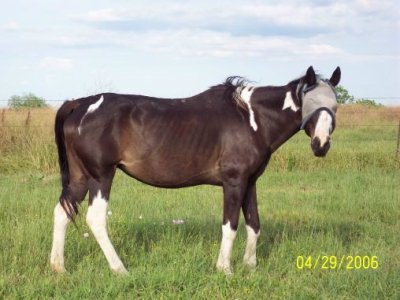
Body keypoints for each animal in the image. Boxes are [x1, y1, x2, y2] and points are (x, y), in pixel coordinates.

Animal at [50, 65, 340, 274]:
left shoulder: (250, 182)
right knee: (95, 219)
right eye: (309, 103)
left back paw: (58, 268)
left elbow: (254, 224)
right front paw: (225, 269)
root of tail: (80, 103)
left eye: (335, 105)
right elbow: (230, 225)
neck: (251, 119)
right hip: (101, 176)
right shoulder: (234, 182)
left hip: (80, 178)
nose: (321, 145)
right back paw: (119, 269)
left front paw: (250, 266)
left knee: (62, 212)